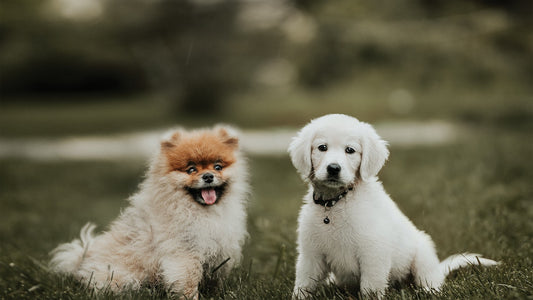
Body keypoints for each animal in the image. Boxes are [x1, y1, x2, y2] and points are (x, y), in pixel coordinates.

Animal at [50, 125, 249, 298]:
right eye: (191, 169)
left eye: (218, 167)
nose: (208, 176)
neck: (200, 211)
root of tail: (83, 260)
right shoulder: (184, 252)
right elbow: (188, 279)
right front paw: (191, 297)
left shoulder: (220, 250)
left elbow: (216, 277)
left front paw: (217, 294)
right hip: (124, 278)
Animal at [288, 114, 496, 298]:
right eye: (322, 147)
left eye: (350, 150)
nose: (333, 168)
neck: (336, 202)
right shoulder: (310, 255)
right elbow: (303, 285)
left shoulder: (374, 252)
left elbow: (370, 288)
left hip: (422, 254)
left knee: (430, 280)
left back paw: (429, 291)